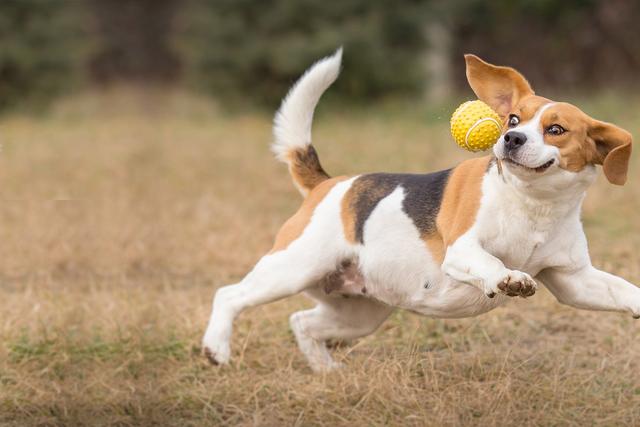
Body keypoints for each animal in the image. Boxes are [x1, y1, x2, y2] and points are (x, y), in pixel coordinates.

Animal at [202, 48, 636, 372]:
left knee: (302, 322)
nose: (511, 138)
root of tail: (328, 183)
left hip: (359, 312)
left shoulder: (573, 280)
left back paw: (327, 371)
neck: (533, 204)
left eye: (556, 130)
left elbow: (623, 291)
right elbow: (493, 264)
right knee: (229, 295)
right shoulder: (462, 251)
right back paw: (216, 347)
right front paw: (510, 278)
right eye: (514, 119)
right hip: (291, 269)